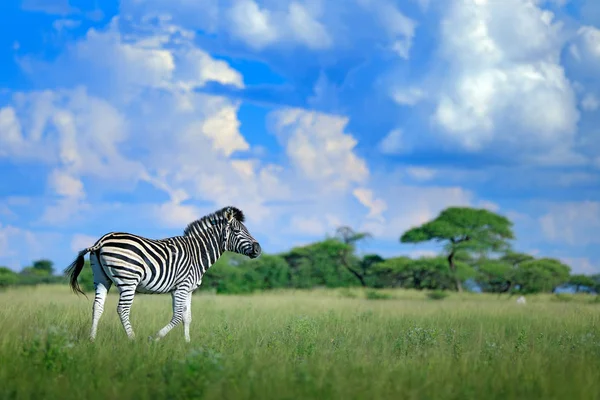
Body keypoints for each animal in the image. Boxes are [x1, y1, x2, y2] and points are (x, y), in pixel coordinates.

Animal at [64, 205, 262, 342]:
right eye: (237, 231)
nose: (258, 249)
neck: (197, 253)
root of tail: (103, 239)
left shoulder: (186, 289)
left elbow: (187, 317)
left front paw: (187, 343)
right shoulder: (182, 287)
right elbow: (177, 316)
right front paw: (155, 337)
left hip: (101, 278)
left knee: (97, 307)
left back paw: (92, 339)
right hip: (128, 280)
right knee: (123, 309)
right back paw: (132, 339)